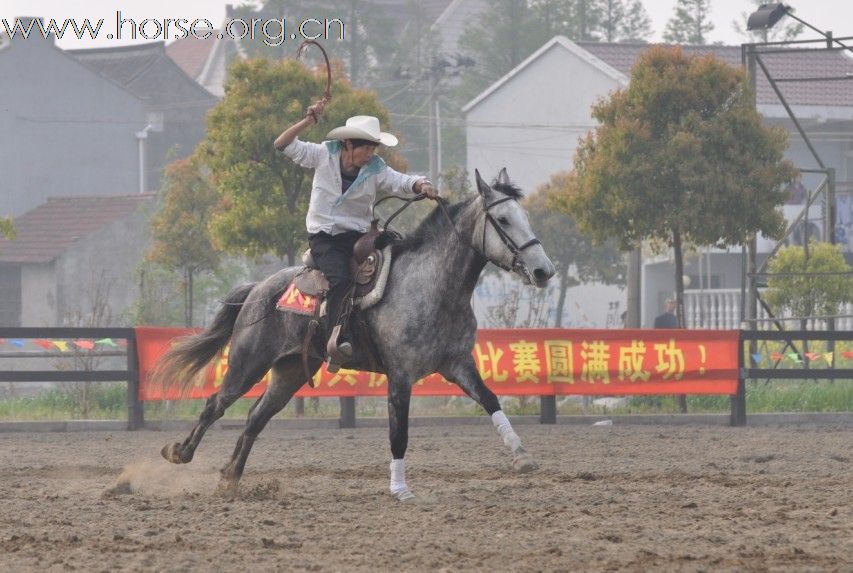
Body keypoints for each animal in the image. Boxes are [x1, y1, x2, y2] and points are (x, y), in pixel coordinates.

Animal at [156, 168, 556, 498]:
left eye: (525, 217)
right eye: (503, 219)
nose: (544, 271)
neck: (433, 286)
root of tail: (257, 289)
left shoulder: (458, 365)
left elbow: (490, 400)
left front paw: (521, 455)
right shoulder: (400, 376)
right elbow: (399, 434)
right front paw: (400, 489)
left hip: (290, 372)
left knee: (256, 417)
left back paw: (230, 478)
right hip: (247, 362)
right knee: (216, 403)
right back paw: (180, 452)